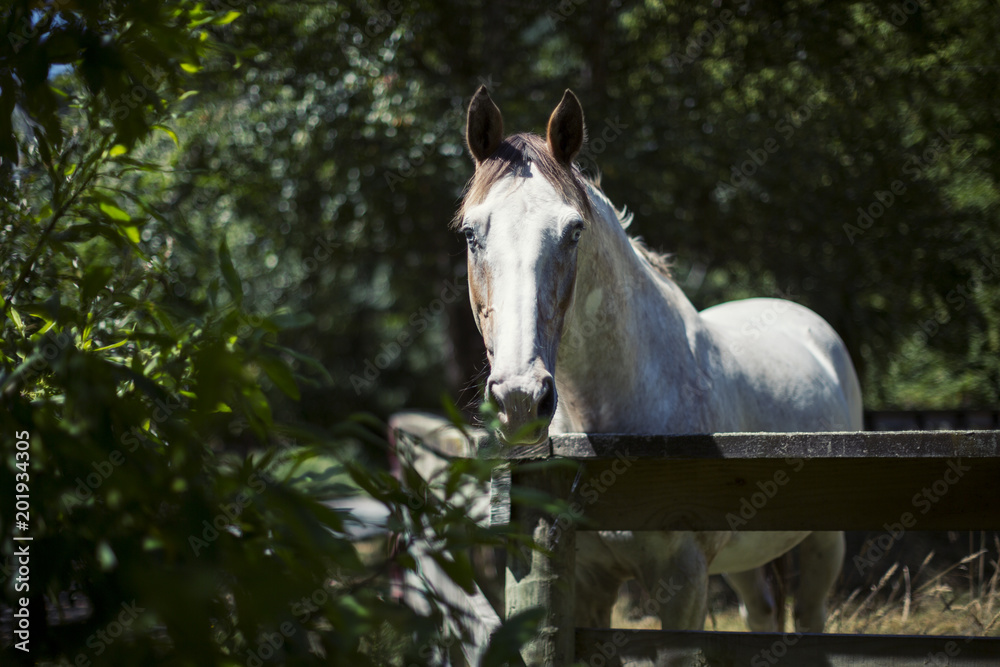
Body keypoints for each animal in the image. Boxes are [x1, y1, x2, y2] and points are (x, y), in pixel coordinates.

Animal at [454, 86, 863, 636]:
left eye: (574, 231)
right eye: (471, 234)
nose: (520, 397)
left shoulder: (683, 584)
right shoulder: (589, 586)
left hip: (823, 543)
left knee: (810, 616)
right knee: (761, 613)